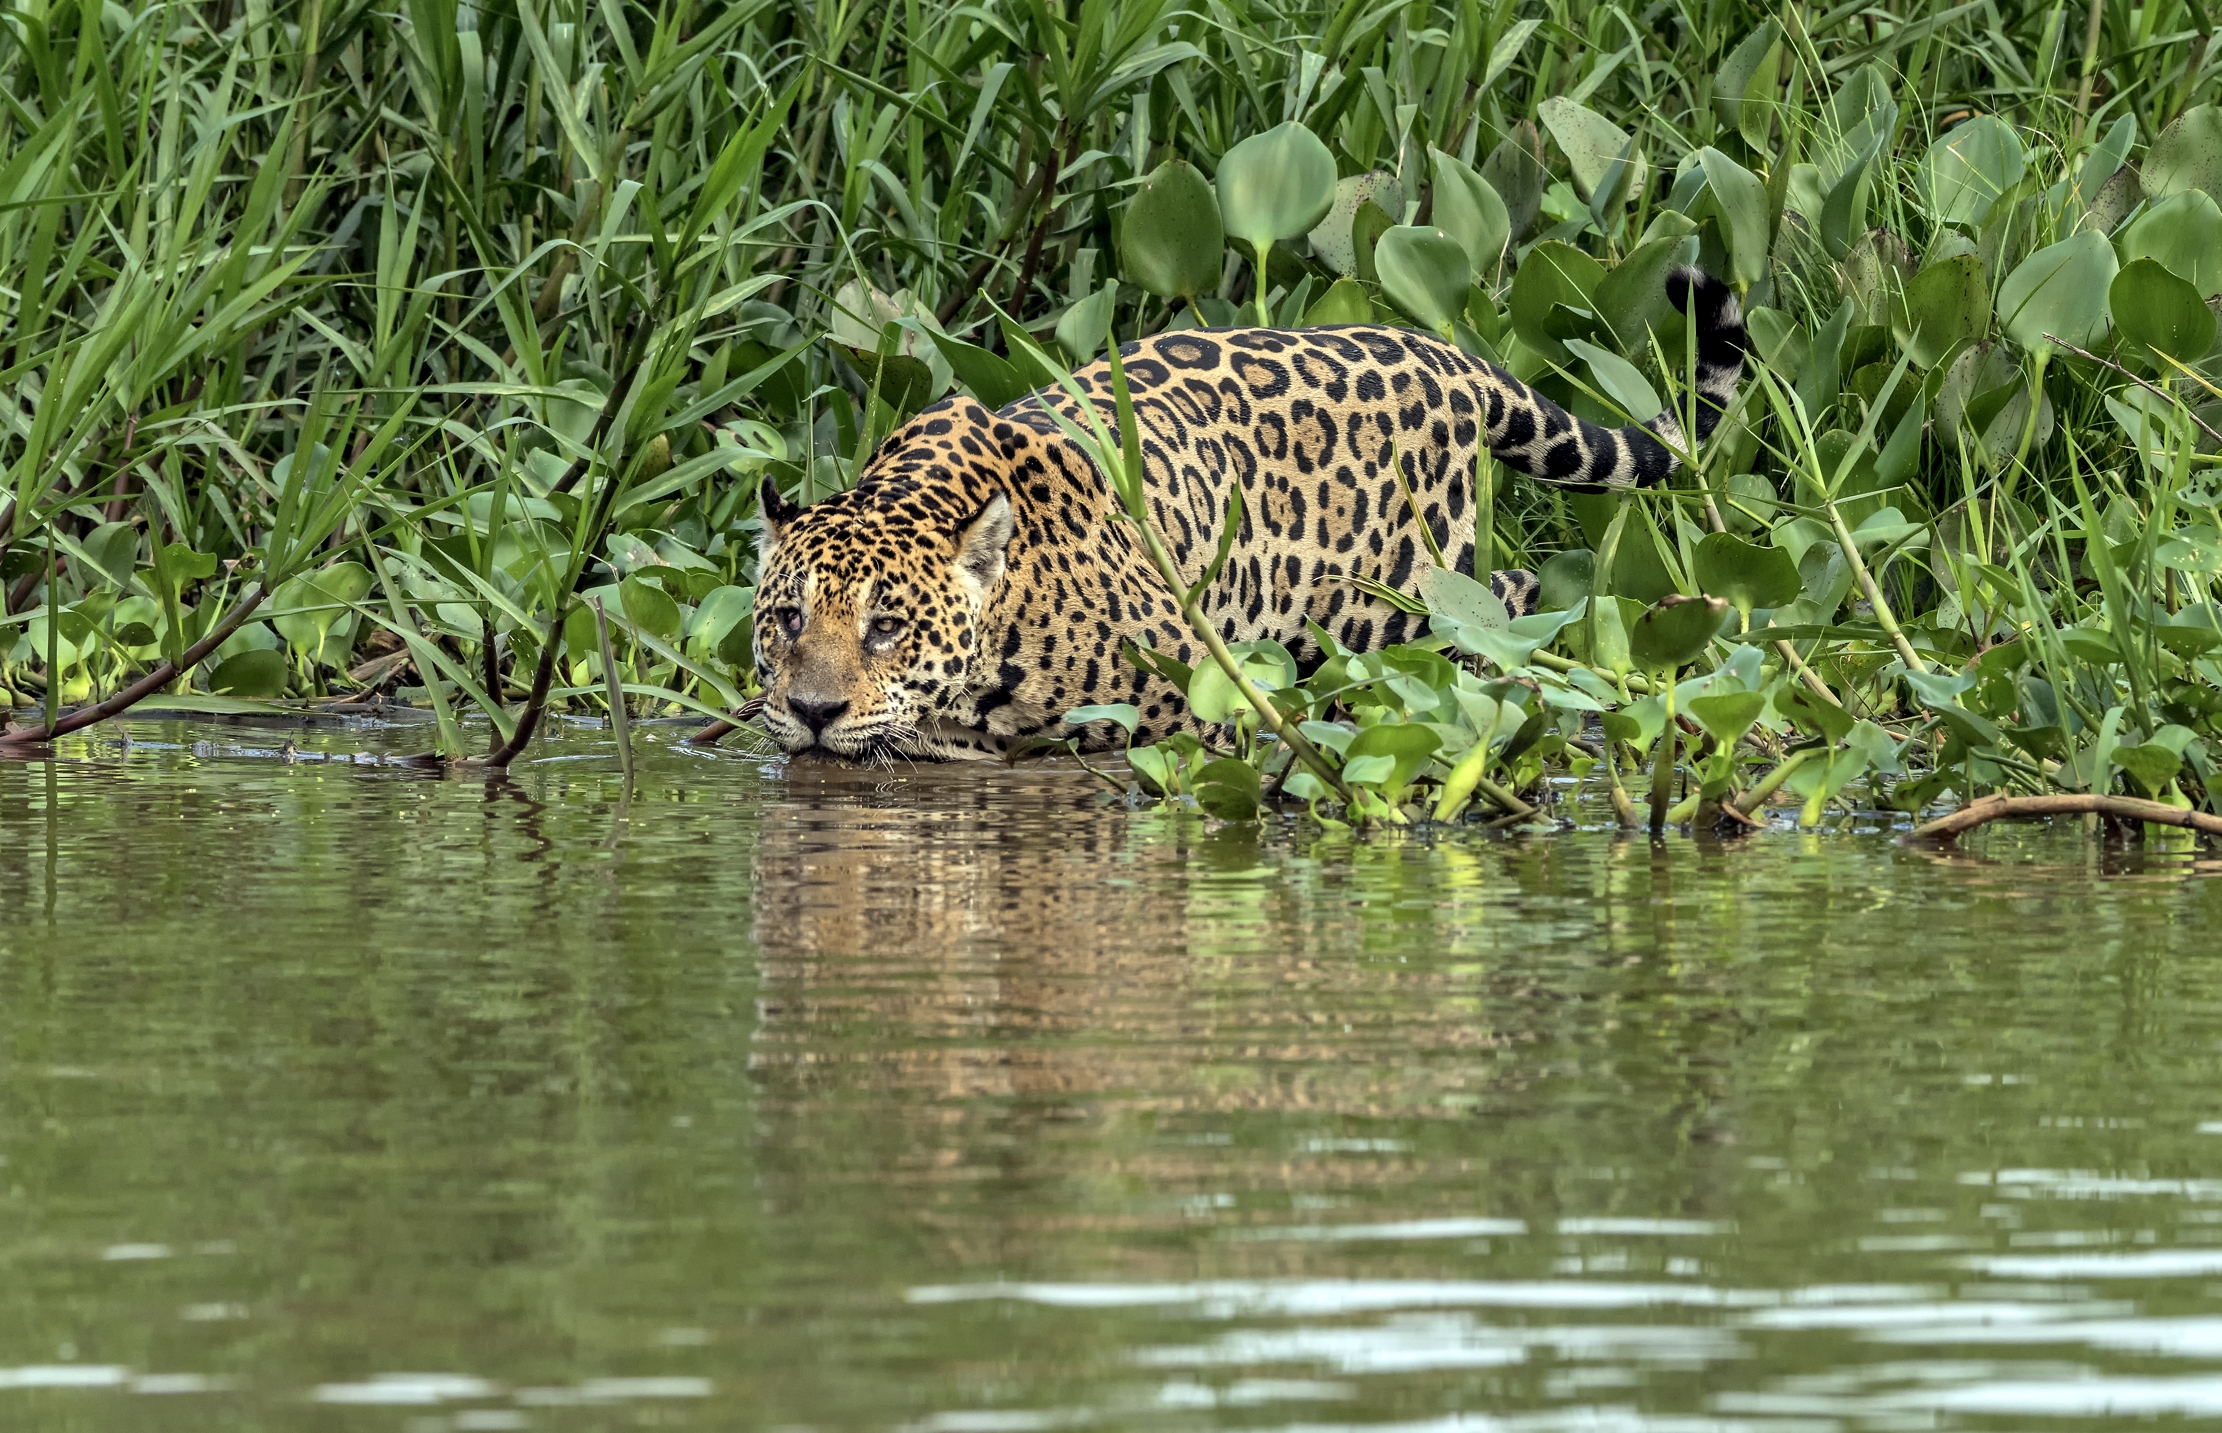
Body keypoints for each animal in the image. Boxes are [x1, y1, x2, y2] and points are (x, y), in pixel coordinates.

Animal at [751, 267, 1746, 761]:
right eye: (788, 618)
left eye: (887, 626)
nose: (811, 710)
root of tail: (1444, 350)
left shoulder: (1190, 708)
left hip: (1392, 607)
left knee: (1508, 597)